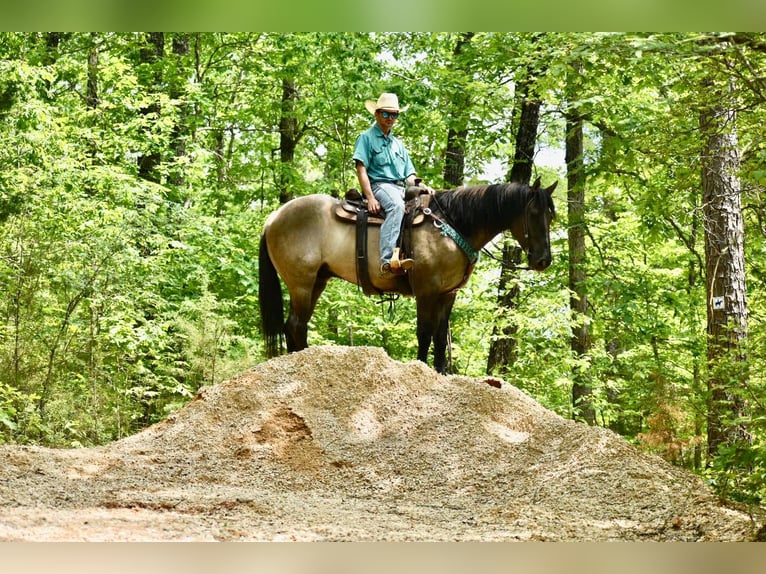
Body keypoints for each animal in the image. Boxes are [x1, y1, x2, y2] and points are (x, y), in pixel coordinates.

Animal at [258, 178, 560, 376]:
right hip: (301, 284)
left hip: (317, 281)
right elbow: (424, 332)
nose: (543, 260)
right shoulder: (426, 291)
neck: (450, 224)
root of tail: (273, 217)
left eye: (551, 215)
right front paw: (422, 369)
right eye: (533, 212)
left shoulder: (448, 294)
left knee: (295, 326)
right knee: (296, 324)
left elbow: (440, 334)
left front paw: (441, 372)